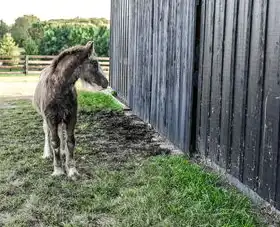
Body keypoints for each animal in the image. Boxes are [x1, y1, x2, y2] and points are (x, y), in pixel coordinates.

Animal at [32, 41, 108, 178]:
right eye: (94, 63)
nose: (106, 82)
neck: (58, 88)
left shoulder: (71, 117)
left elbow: (70, 141)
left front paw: (72, 170)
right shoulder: (51, 119)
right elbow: (55, 141)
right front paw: (58, 170)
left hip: (62, 119)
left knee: (62, 133)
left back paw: (63, 153)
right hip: (46, 119)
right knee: (47, 132)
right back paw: (47, 154)